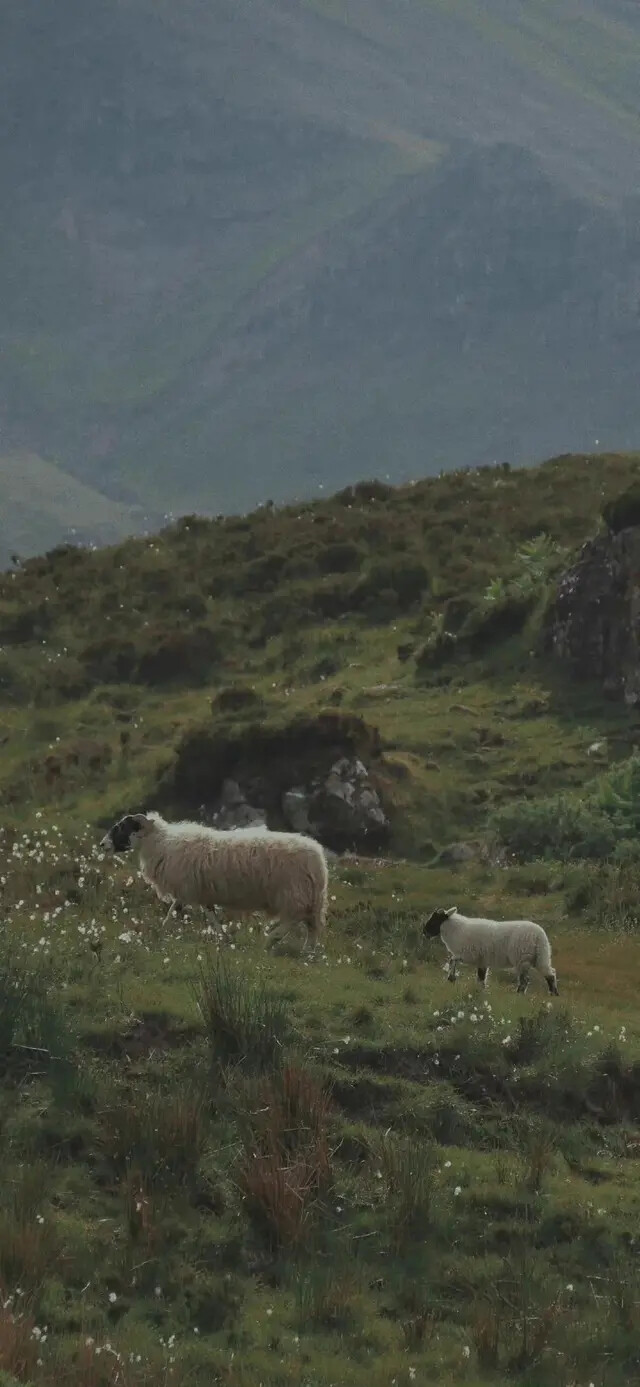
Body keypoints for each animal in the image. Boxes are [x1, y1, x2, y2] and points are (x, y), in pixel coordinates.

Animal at [101, 810, 329, 948]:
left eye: (122, 827)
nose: (103, 845)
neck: (160, 844)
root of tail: (317, 858)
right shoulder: (200, 892)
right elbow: (210, 915)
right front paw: (225, 938)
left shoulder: (185, 889)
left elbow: (172, 912)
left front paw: (159, 934)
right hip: (308, 897)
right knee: (311, 926)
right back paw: (307, 951)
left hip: (293, 893)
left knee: (294, 919)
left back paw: (271, 939)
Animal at [422, 904, 555, 993]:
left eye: (435, 919)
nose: (424, 933)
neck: (456, 929)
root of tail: (540, 935)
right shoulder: (482, 961)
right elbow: (481, 978)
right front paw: (481, 991)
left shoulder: (468, 955)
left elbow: (452, 960)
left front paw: (451, 978)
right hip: (540, 956)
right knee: (550, 974)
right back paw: (553, 995)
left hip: (523, 958)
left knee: (525, 980)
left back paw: (518, 995)